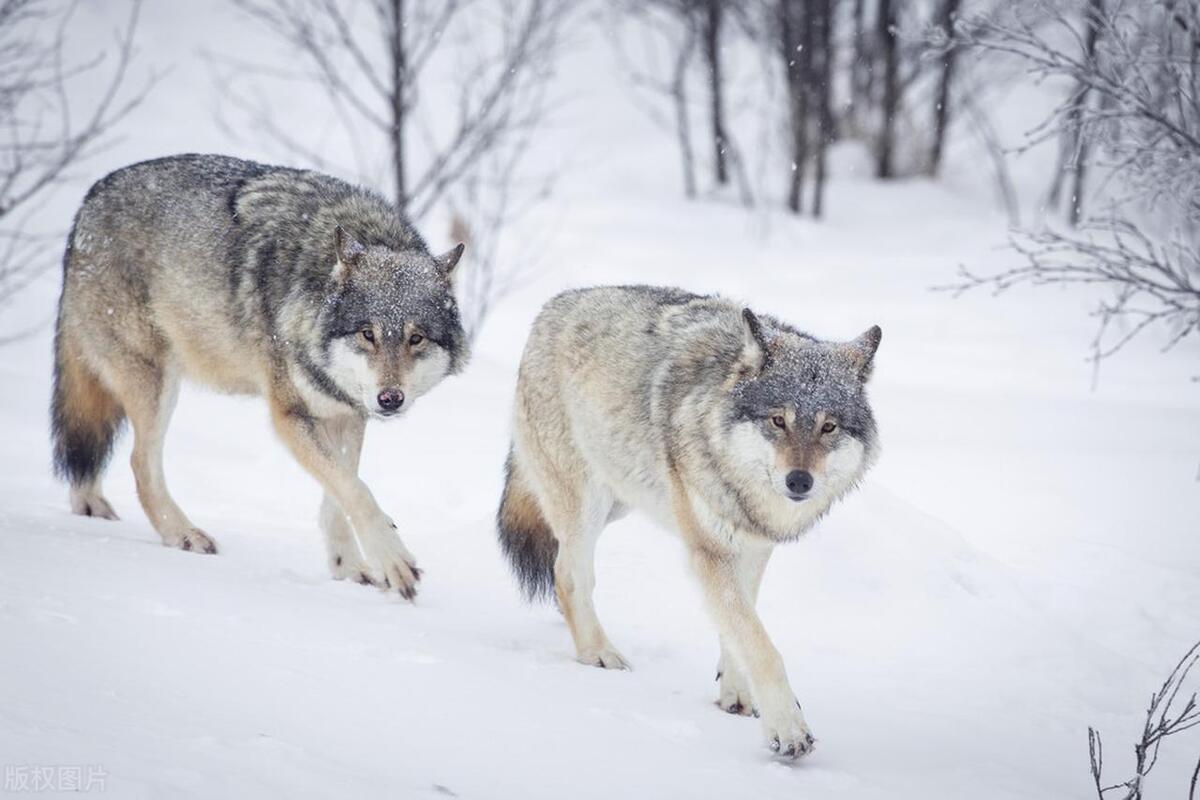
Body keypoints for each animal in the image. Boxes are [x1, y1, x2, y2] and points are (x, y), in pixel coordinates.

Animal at [51, 154, 465, 599]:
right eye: (367, 334)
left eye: (416, 338)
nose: (390, 399)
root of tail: (89, 199)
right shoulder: (289, 415)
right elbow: (356, 489)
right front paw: (392, 560)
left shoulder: (345, 414)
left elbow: (340, 492)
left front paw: (349, 567)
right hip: (155, 382)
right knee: (139, 463)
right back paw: (183, 534)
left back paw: (90, 507)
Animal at [496, 286, 883, 758]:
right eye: (778, 420)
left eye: (829, 427)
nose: (799, 481)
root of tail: (555, 304)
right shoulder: (709, 553)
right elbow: (761, 645)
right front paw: (788, 729)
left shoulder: (752, 548)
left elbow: (741, 626)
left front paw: (736, 694)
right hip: (587, 502)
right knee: (568, 573)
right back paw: (598, 654)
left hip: (621, 498)